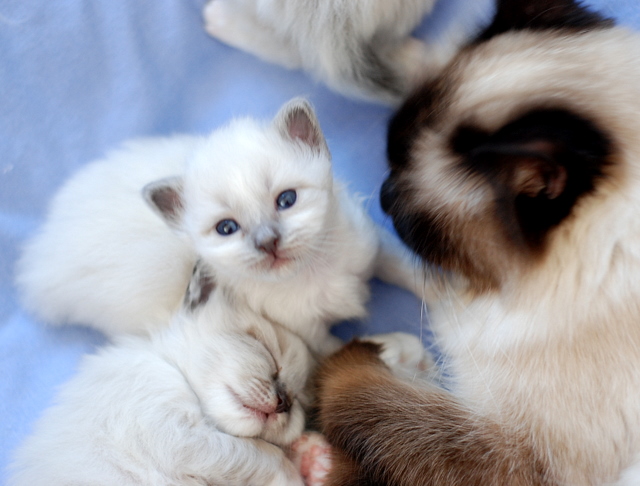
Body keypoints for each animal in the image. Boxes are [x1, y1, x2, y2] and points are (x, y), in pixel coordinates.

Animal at [7, 266, 312, 486]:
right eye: (265, 348)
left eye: (299, 401)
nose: (284, 402)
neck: (167, 365)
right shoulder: (173, 434)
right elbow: (265, 455)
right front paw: (295, 476)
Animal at [16, 98, 420, 356]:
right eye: (226, 228)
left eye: (286, 200)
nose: (267, 242)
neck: (313, 271)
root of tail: (43, 246)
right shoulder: (306, 332)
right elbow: (344, 346)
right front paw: (396, 346)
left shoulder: (370, 244)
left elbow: (405, 268)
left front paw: (436, 292)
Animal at [316, 1, 640, 484]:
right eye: (392, 158)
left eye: (413, 220)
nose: (384, 195)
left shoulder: (514, 455)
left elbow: (359, 392)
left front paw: (360, 355)